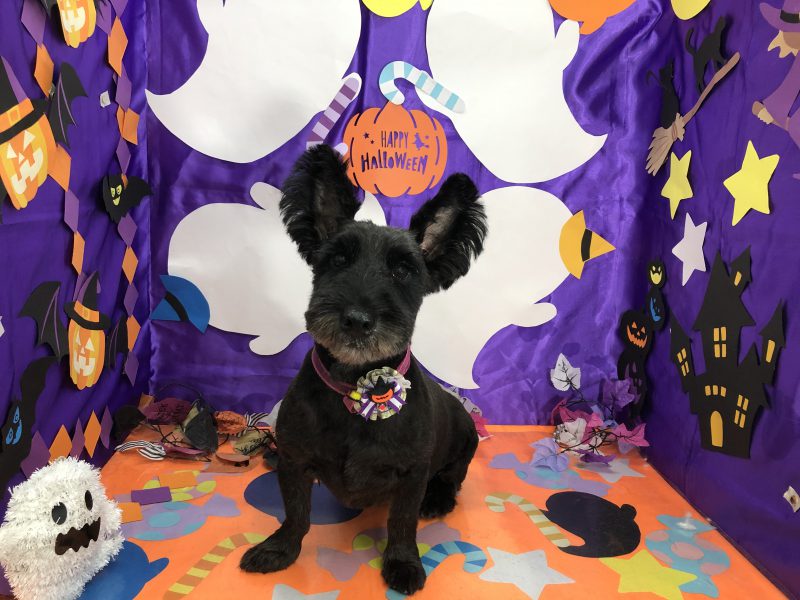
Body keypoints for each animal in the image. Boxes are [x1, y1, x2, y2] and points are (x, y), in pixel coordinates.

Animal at [239, 144, 487, 595]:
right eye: (336, 259)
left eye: (404, 270)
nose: (356, 319)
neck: (353, 385)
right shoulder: (295, 461)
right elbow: (296, 512)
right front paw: (279, 549)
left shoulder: (412, 473)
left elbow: (402, 523)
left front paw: (403, 563)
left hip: (464, 440)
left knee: (453, 477)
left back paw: (439, 499)